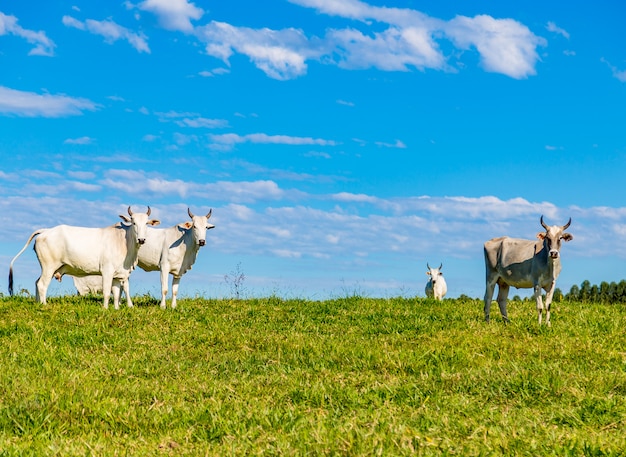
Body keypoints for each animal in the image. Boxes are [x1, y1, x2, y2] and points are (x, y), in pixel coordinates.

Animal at [8, 208, 160, 310]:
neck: (124, 242)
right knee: (42, 284)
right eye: (133, 222)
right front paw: (105, 309)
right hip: (49, 266)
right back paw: (44, 305)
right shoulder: (107, 271)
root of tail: (46, 231)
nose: (141, 239)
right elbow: (107, 292)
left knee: (36, 282)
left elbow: (117, 293)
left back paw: (37, 303)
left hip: (49, 268)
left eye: (146, 224)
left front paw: (116, 309)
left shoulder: (119, 274)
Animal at [72, 208, 214, 308]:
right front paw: (163, 306)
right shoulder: (164, 267)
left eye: (206, 227)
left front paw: (174, 307)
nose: (202, 241)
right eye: (194, 226)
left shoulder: (179, 271)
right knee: (124, 285)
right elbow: (165, 289)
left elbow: (175, 290)